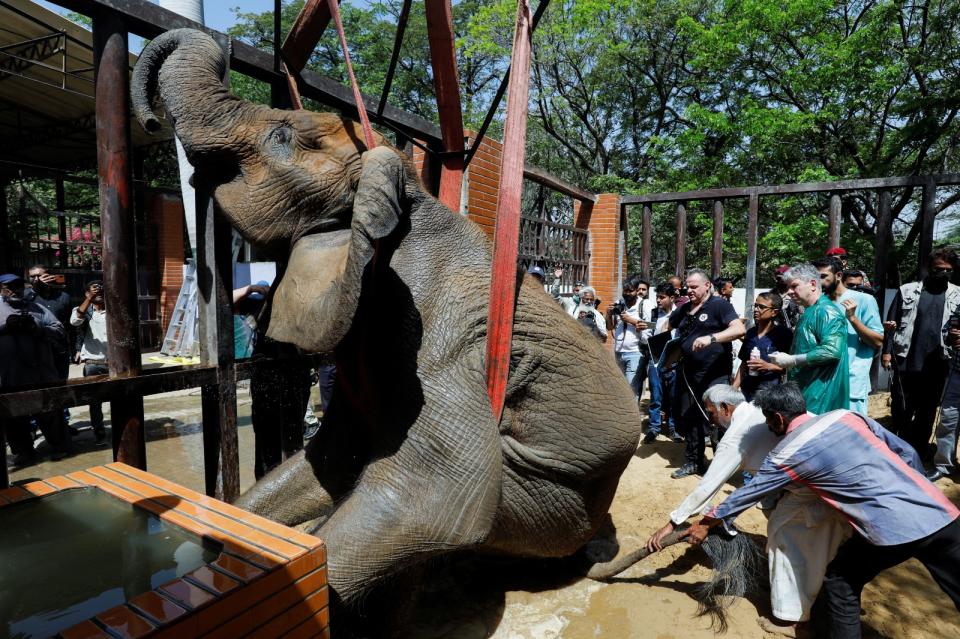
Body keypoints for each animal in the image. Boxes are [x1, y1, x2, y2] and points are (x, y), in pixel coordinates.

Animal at [129, 28, 636, 632]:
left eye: (281, 136)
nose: (150, 122)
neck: (401, 191)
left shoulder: (438, 339)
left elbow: (431, 497)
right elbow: (331, 457)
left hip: (546, 510)